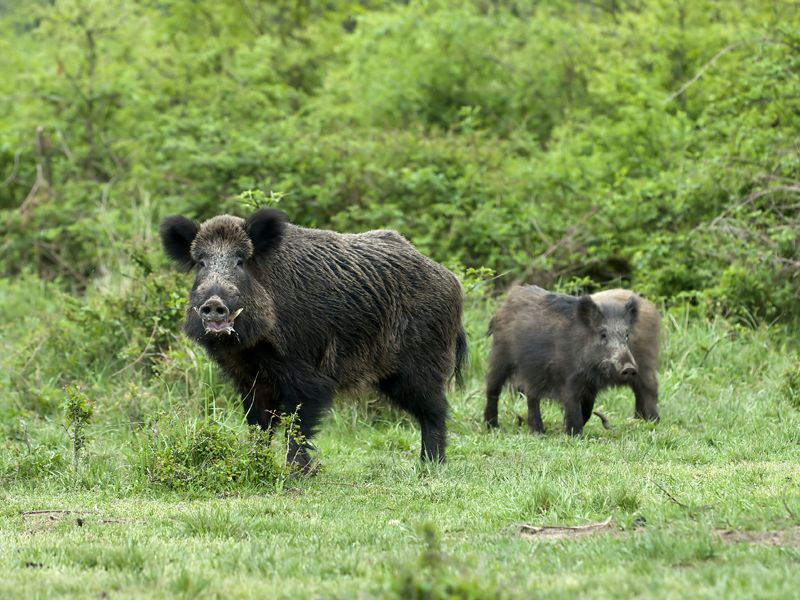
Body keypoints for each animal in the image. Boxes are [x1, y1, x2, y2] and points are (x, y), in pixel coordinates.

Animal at [160, 209, 467, 471]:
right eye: (201, 262)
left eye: (240, 261)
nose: (214, 303)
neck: (253, 349)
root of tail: (452, 280)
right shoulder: (249, 380)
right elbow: (258, 426)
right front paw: (255, 463)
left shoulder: (306, 374)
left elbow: (297, 426)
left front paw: (296, 474)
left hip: (422, 364)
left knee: (436, 411)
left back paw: (432, 465)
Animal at [484, 285, 660, 435]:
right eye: (603, 334)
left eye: (627, 335)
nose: (629, 368)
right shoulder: (568, 379)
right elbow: (573, 406)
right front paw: (575, 434)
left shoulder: (590, 386)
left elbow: (587, 409)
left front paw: (567, 430)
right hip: (501, 355)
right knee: (494, 388)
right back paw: (492, 426)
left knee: (532, 395)